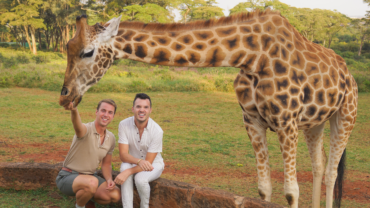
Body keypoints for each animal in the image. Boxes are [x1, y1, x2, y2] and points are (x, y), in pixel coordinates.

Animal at [59, 10, 356, 208]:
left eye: (87, 52)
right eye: (67, 47)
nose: (65, 97)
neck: (251, 56)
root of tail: (348, 73)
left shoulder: (286, 122)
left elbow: (291, 191)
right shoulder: (253, 121)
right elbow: (264, 188)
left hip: (345, 115)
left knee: (331, 172)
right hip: (315, 123)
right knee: (319, 166)